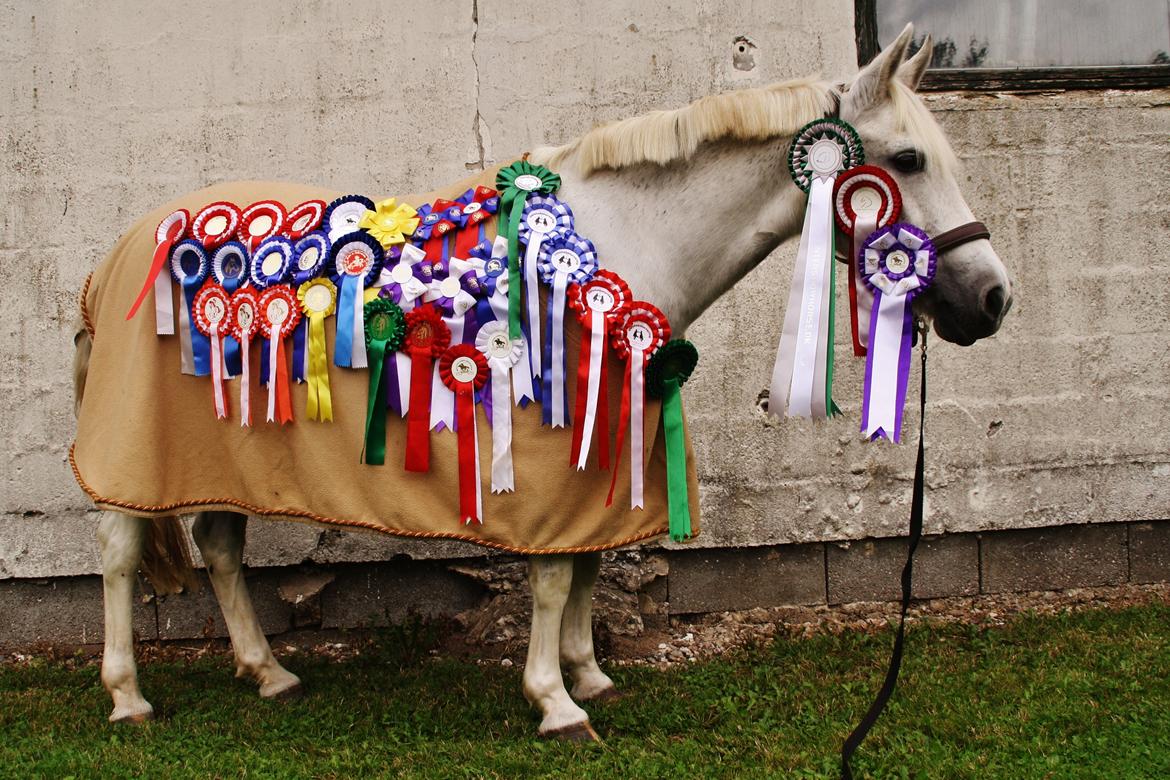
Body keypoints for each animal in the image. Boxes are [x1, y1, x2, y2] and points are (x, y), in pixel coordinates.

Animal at [72, 24, 1011, 740]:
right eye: (906, 158)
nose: (993, 300)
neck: (614, 243)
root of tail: (116, 255)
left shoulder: (606, 452)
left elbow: (588, 564)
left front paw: (588, 674)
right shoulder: (553, 456)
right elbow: (556, 577)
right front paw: (556, 704)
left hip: (220, 453)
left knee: (220, 548)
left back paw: (267, 672)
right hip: (136, 458)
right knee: (120, 554)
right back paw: (128, 696)